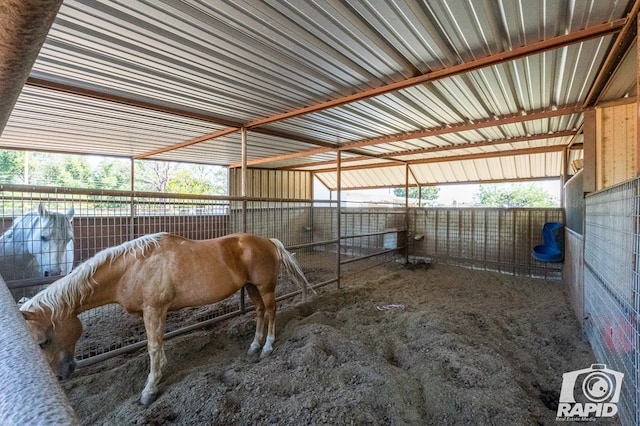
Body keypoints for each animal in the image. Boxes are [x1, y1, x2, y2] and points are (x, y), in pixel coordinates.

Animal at [21, 233, 316, 406]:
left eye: (43, 342)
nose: (62, 374)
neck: (133, 267)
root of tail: (268, 241)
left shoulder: (154, 309)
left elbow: (153, 347)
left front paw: (149, 390)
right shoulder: (153, 312)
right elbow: (158, 345)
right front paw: (159, 373)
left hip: (264, 287)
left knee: (272, 311)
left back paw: (267, 347)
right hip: (251, 287)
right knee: (259, 312)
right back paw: (254, 346)